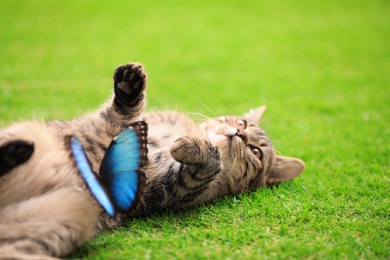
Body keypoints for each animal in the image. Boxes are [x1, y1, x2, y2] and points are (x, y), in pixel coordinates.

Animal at [0, 62, 304, 258]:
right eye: (241, 122)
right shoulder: (114, 125)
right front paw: (128, 85)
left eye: (256, 152)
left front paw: (191, 147)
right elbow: (120, 110)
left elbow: (209, 162)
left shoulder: (167, 188)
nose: (240, 134)